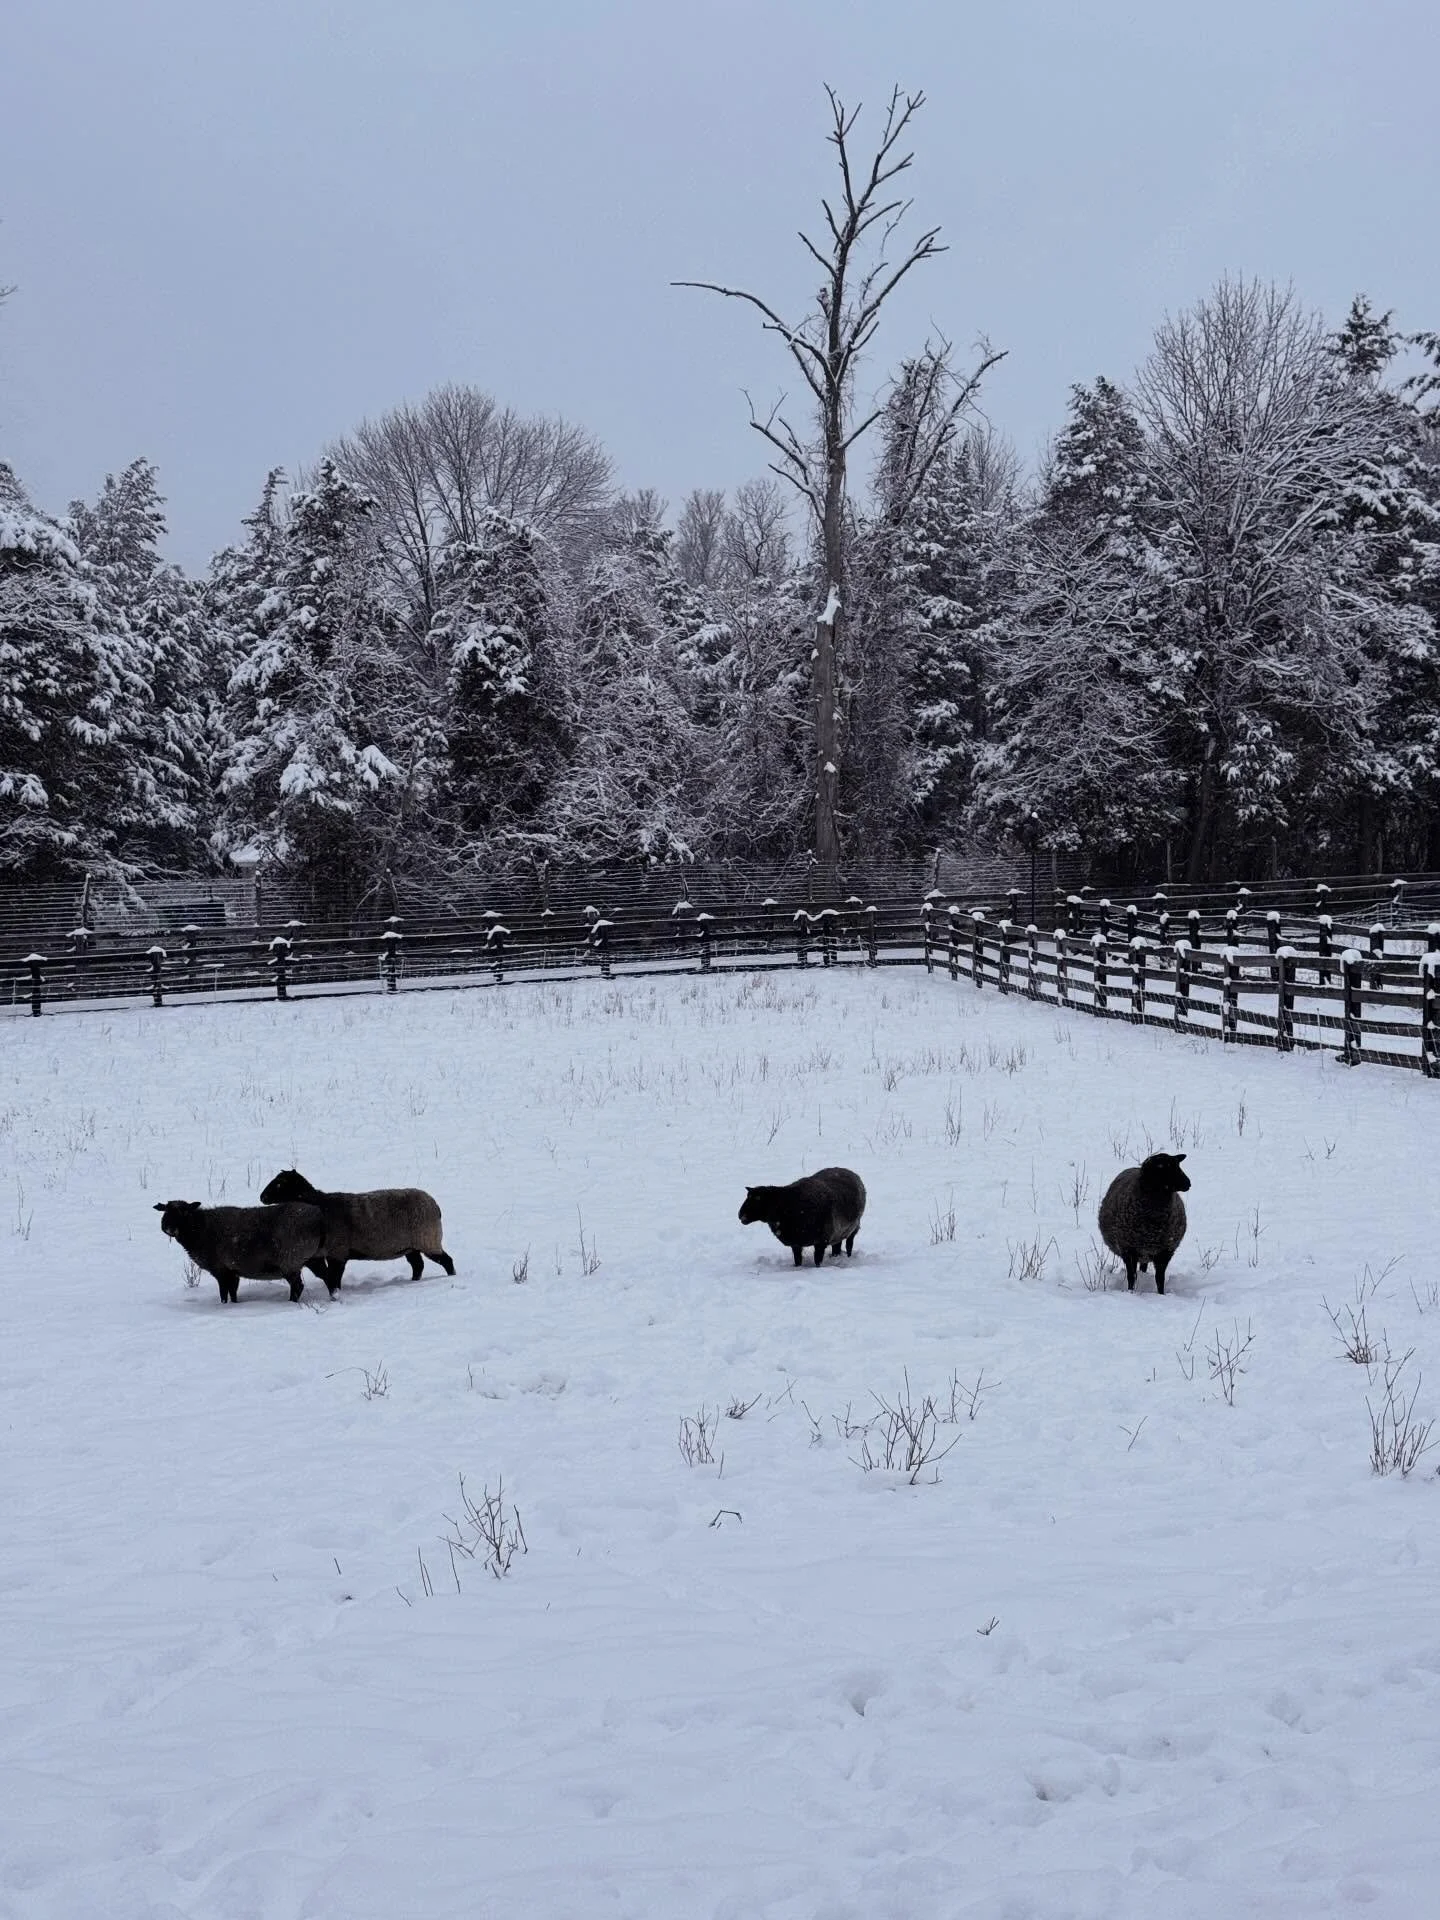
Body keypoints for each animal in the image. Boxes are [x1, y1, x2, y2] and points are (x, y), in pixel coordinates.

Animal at [155, 1199, 329, 1305]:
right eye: (166, 1211)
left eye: (185, 1212)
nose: (170, 1228)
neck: (200, 1229)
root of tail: (319, 1219)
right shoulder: (233, 1271)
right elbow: (233, 1293)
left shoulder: (221, 1270)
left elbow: (224, 1293)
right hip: (313, 1257)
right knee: (328, 1277)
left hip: (290, 1261)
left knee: (298, 1286)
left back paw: (291, 1303)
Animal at [258, 1169, 454, 1291]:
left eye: (279, 1184)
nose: (262, 1197)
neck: (320, 1206)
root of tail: (435, 1205)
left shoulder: (338, 1252)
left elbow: (335, 1277)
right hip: (410, 1246)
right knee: (418, 1265)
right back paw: (413, 1281)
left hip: (428, 1239)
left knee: (447, 1260)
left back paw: (451, 1277)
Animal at [738, 1166, 866, 1268]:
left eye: (757, 1199)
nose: (739, 1215)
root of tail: (849, 1171)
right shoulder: (796, 1243)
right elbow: (798, 1260)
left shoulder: (821, 1240)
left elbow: (817, 1261)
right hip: (838, 1232)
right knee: (837, 1245)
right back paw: (835, 1257)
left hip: (854, 1227)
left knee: (849, 1244)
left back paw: (847, 1257)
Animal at [1097, 1151, 1191, 1294]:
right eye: (1165, 1168)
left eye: (1177, 1165)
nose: (1188, 1183)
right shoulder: (1128, 1249)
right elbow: (1131, 1276)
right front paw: (1131, 1292)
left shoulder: (1165, 1251)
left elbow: (1160, 1278)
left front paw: (1161, 1294)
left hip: (1147, 1252)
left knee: (1144, 1267)